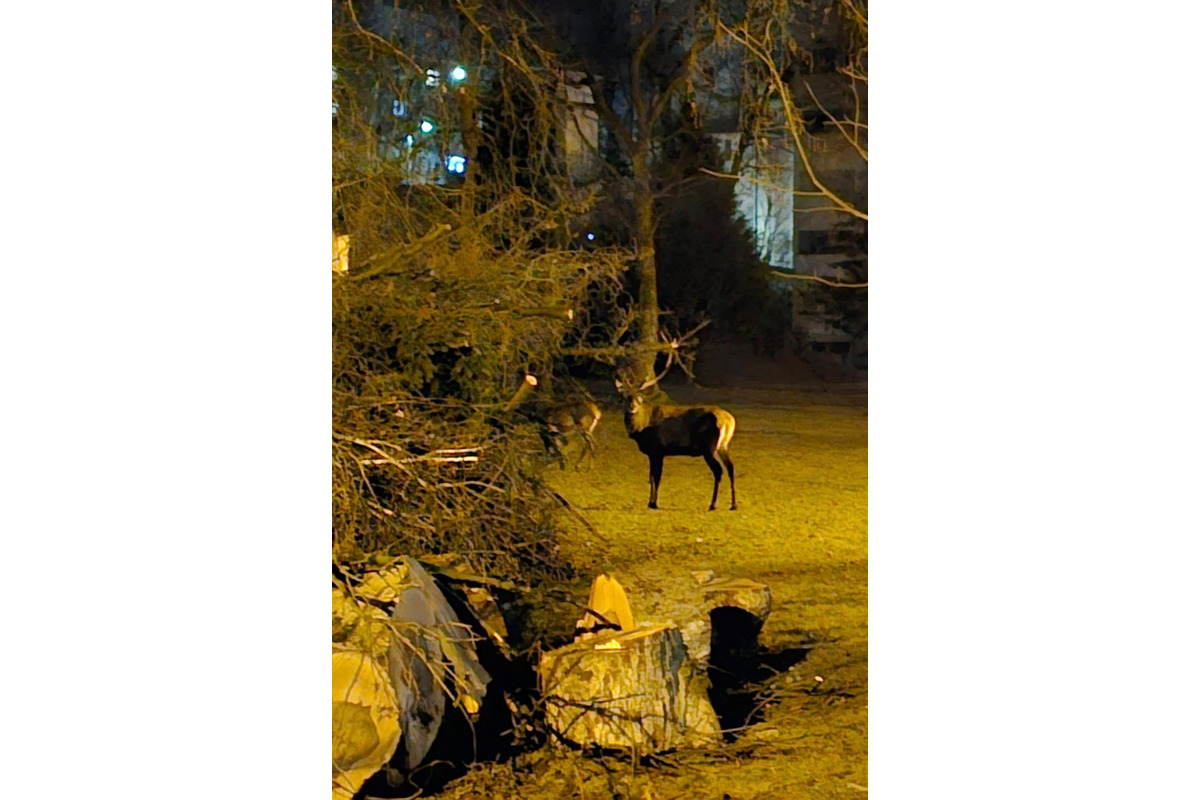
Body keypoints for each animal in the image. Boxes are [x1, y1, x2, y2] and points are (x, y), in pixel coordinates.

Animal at [614, 367, 734, 510]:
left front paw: (653, 503)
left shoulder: (657, 450)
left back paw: (713, 504)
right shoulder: (654, 453)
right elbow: (652, 475)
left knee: (718, 470)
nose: (632, 407)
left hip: (708, 448)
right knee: (730, 467)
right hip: (723, 446)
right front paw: (650, 502)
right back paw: (733, 505)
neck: (640, 429)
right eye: (626, 397)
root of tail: (729, 420)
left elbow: (656, 476)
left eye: (640, 398)